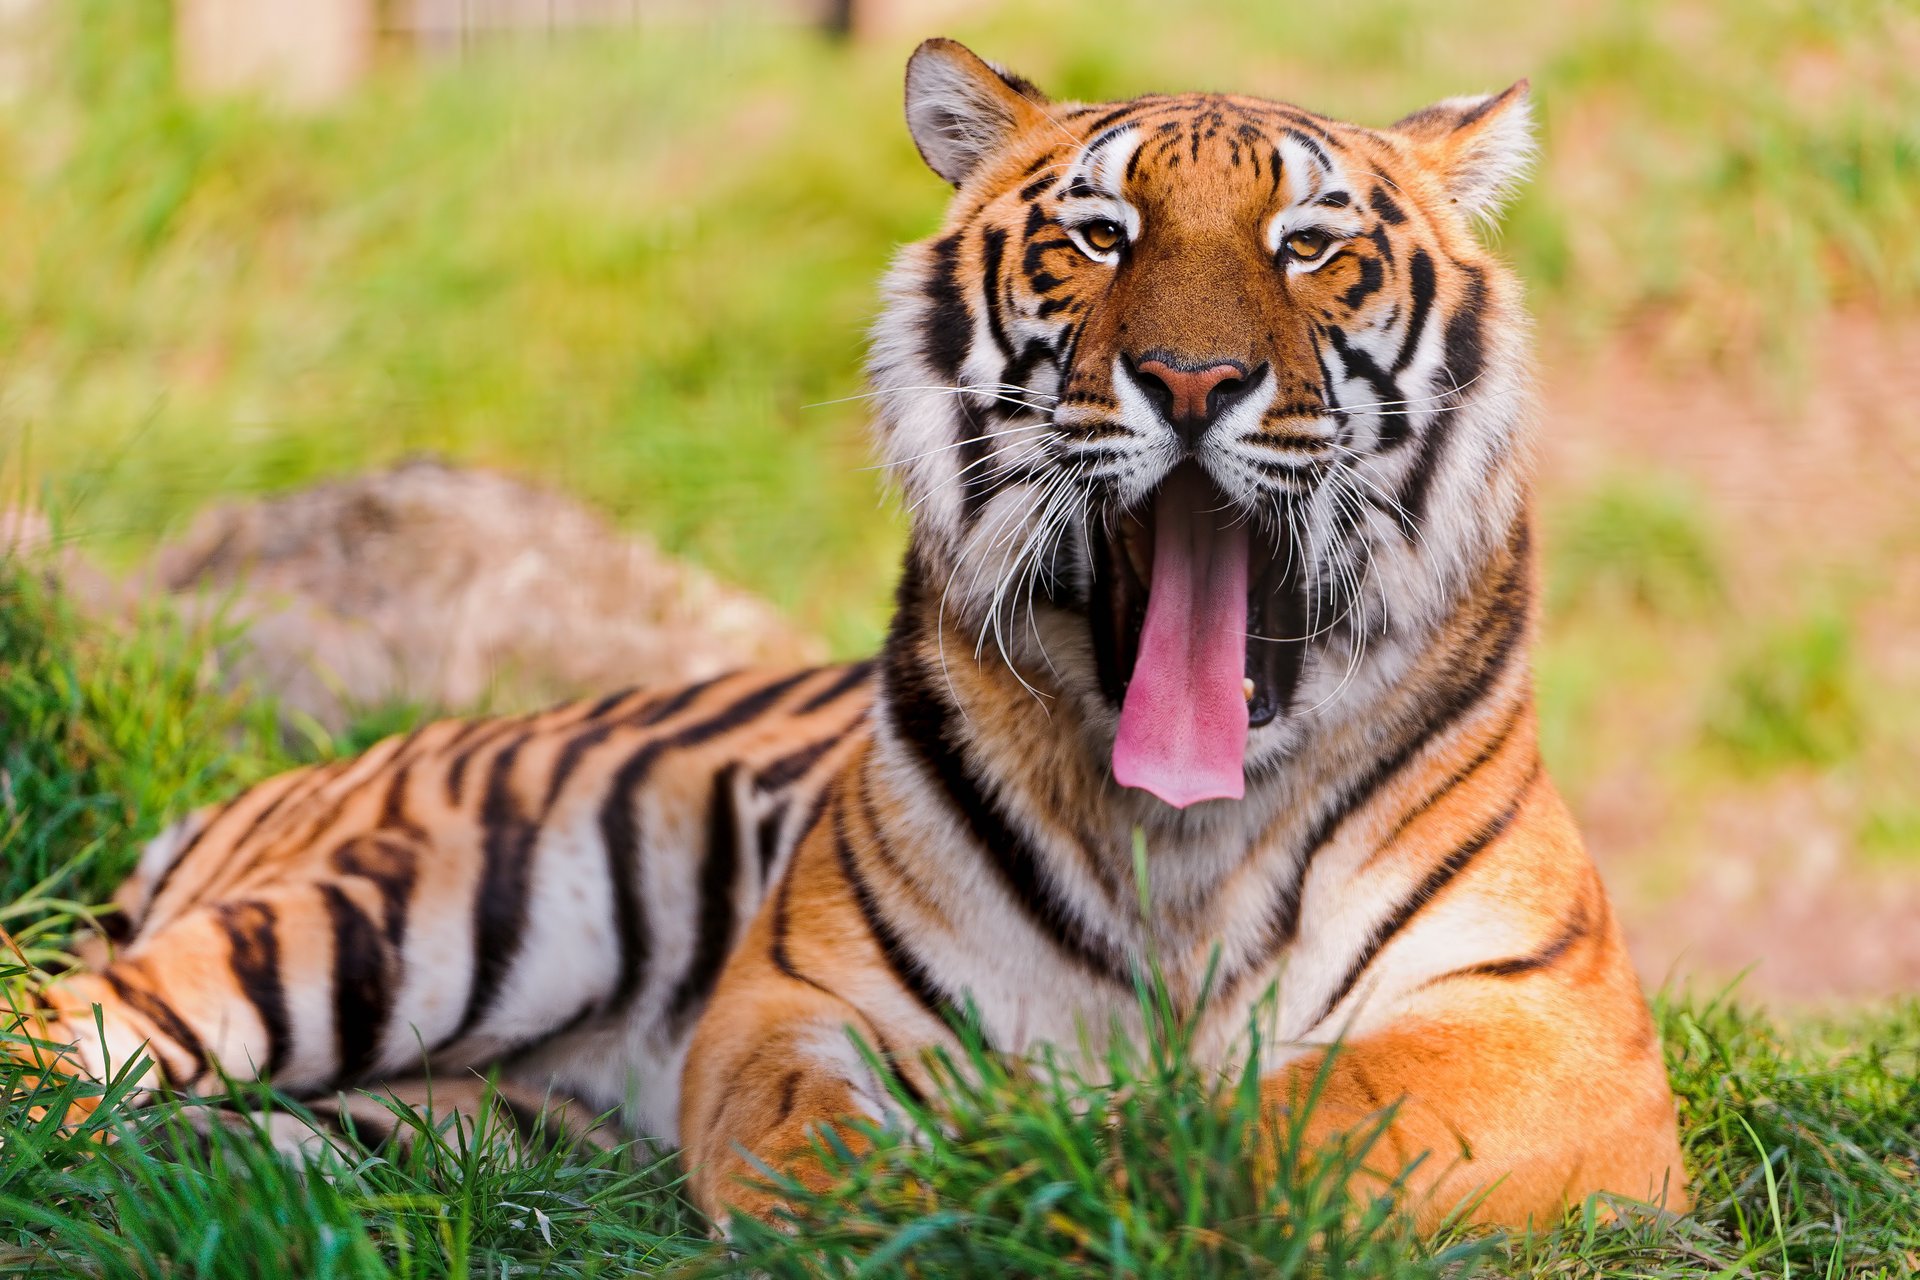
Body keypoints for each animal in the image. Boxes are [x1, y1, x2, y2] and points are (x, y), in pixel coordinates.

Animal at [18, 40, 1697, 1235]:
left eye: (1306, 247)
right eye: (1101, 236)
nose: (1192, 378)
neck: (1183, 840)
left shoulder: (1555, 1034)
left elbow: (1310, 1121)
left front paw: (1118, 1167)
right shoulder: (797, 1001)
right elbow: (820, 1140)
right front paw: (969, 1191)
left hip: (429, 1112)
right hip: (407, 905)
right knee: (67, 1028)